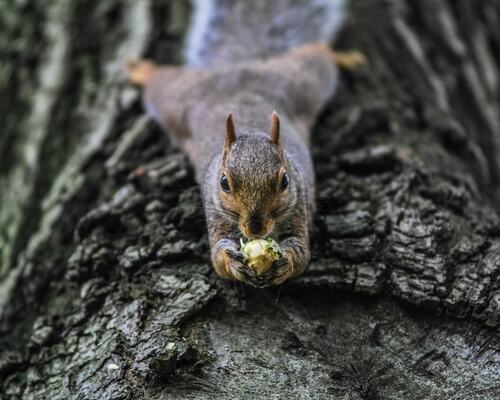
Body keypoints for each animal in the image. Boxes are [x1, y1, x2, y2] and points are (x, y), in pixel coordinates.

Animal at [125, 0, 364, 288]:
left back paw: (345, 57)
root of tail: (239, 66)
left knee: (318, 54)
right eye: (224, 183)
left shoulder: (299, 208)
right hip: (177, 99)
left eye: (285, 181)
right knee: (160, 81)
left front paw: (286, 262)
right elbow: (218, 258)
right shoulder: (216, 214)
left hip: (302, 82)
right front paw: (232, 262)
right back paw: (142, 70)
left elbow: (301, 253)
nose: (255, 229)